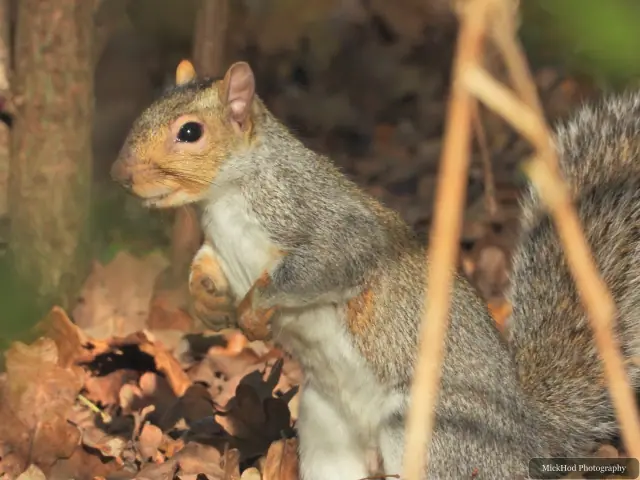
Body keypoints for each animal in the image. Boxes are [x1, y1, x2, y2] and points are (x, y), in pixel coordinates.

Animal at [110, 59, 637, 479]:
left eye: (190, 132)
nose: (121, 175)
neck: (223, 198)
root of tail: (526, 440)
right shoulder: (219, 246)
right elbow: (206, 266)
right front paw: (206, 299)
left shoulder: (326, 223)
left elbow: (321, 265)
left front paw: (255, 308)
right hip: (325, 429)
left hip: (431, 429)